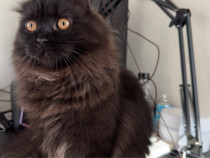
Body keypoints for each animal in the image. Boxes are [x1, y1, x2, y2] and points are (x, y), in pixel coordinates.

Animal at [0, 0, 153, 157]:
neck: (56, 83)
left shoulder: (96, 140)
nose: (41, 39)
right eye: (31, 25)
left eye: (63, 23)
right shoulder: (41, 134)